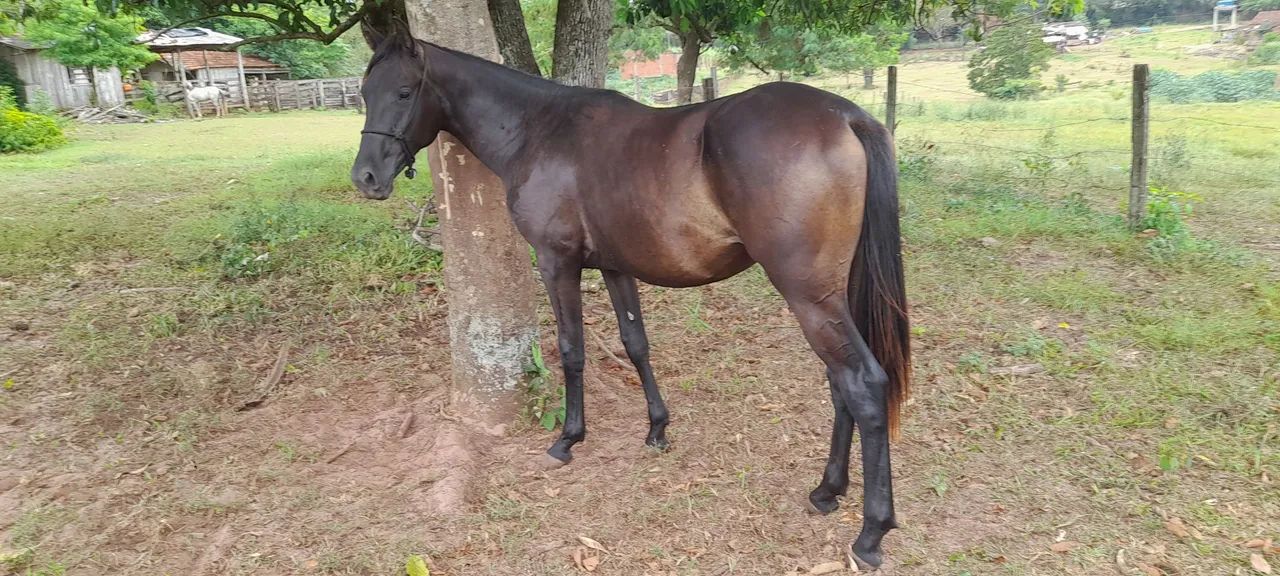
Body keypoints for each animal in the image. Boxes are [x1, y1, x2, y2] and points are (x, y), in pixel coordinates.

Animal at [350, 28, 911, 571]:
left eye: (404, 92)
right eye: (364, 92)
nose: (366, 178)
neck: (539, 130)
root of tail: (846, 116)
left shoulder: (556, 263)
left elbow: (572, 349)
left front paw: (568, 438)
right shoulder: (616, 267)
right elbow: (635, 342)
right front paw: (657, 429)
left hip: (809, 297)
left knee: (862, 384)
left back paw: (870, 533)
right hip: (833, 295)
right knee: (839, 384)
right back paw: (827, 490)